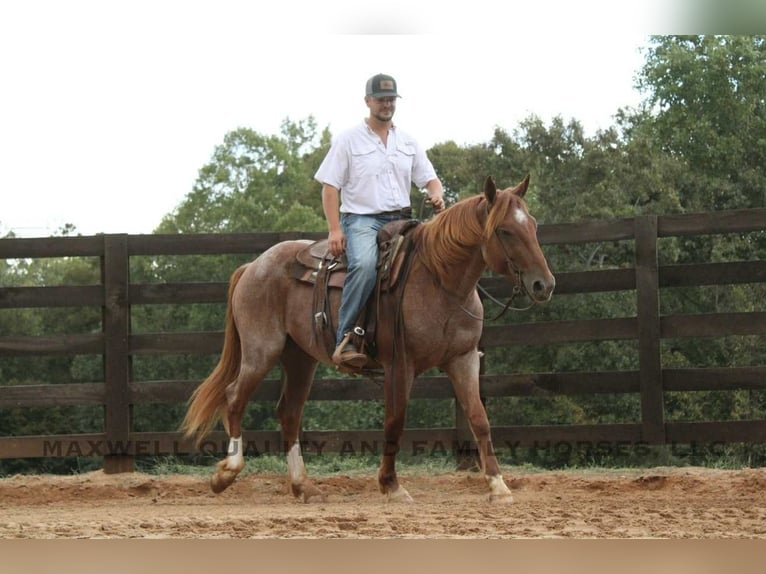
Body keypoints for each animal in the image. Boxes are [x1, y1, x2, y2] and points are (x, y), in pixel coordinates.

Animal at [181, 175, 555, 504]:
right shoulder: (400, 364)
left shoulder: (462, 359)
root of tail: (253, 266)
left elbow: (479, 419)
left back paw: (304, 487)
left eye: (534, 225)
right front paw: (391, 485)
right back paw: (226, 473)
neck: (439, 280)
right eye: (505, 231)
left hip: (299, 357)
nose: (544, 284)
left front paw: (498, 487)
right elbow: (395, 421)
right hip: (262, 350)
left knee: (289, 412)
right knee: (234, 397)